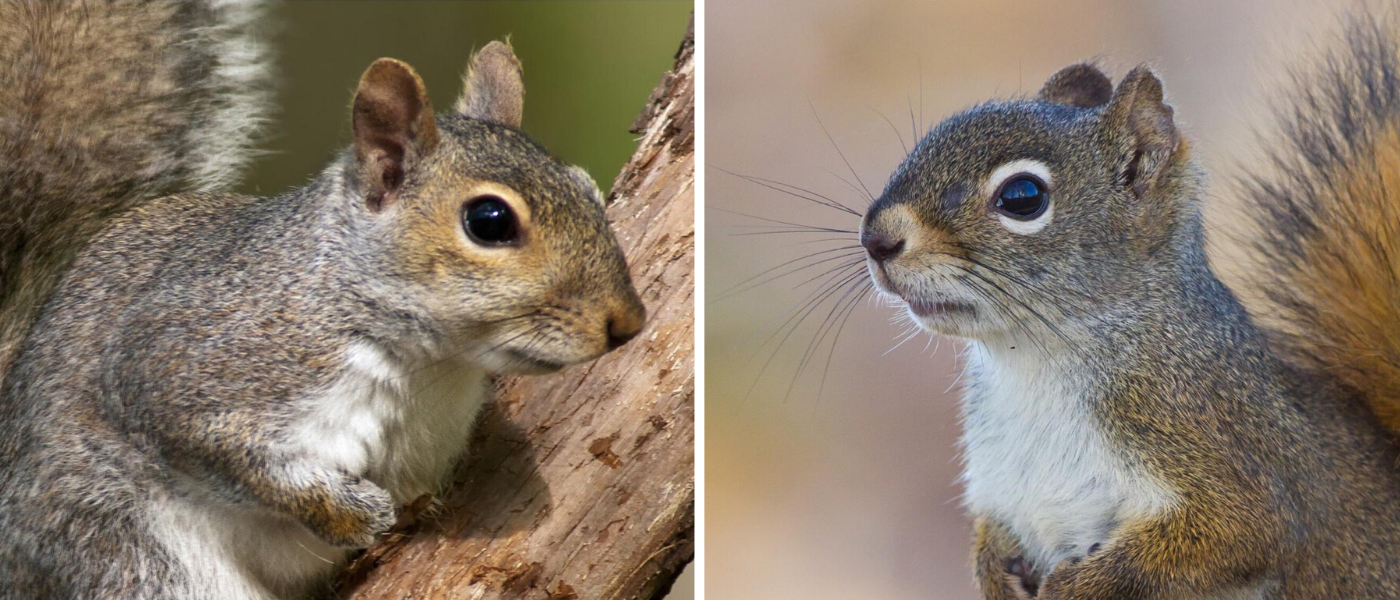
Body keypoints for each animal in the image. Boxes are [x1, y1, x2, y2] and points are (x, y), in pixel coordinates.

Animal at [0, 2, 644, 595]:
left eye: (587, 188)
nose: (628, 323)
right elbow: (238, 460)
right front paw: (353, 515)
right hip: (128, 555)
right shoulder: (180, 367)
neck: (427, 366)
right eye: (489, 220)